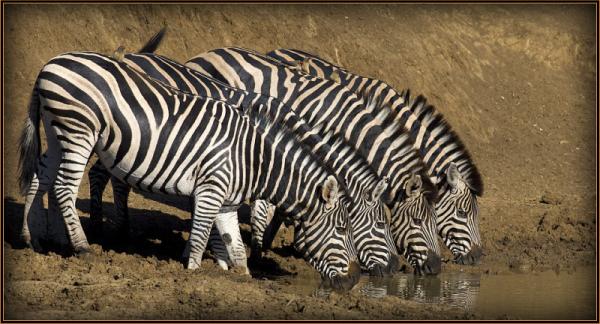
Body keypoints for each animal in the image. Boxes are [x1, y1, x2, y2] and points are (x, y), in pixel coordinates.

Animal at [18, 50, 360, 288]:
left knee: (40, 177)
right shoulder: (211, 189)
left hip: (57, 131)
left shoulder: (227, 202)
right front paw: (194, 271)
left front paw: (240, 276)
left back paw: (36, 239)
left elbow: (234, 245)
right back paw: (82, 247)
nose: (355, 280)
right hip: (78, 129)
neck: (252, 158)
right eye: (343, 229)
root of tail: (50, 64)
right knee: (63, 186)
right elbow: (200, 233)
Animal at [84, 39, 400, 274]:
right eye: (381, 225)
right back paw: (107, 230)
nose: (393, 268)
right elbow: (259, 211)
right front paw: (251, 254)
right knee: (106, 176)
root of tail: (128, 57)